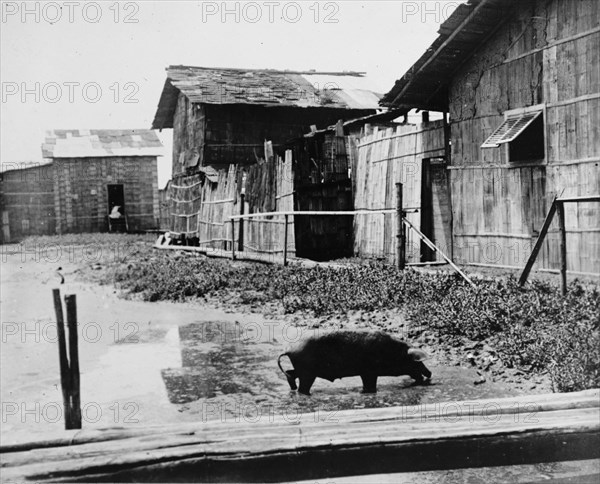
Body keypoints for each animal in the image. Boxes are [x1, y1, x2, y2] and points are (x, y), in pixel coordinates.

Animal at [276, 330, 432, 396]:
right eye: (417, 363)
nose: (430, 373)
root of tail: (289, 350)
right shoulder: (369, 372)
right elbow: (369, 386)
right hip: (308, 372)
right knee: (302, 387)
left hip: (302, 369)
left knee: (290, 374)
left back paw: (293, 388)